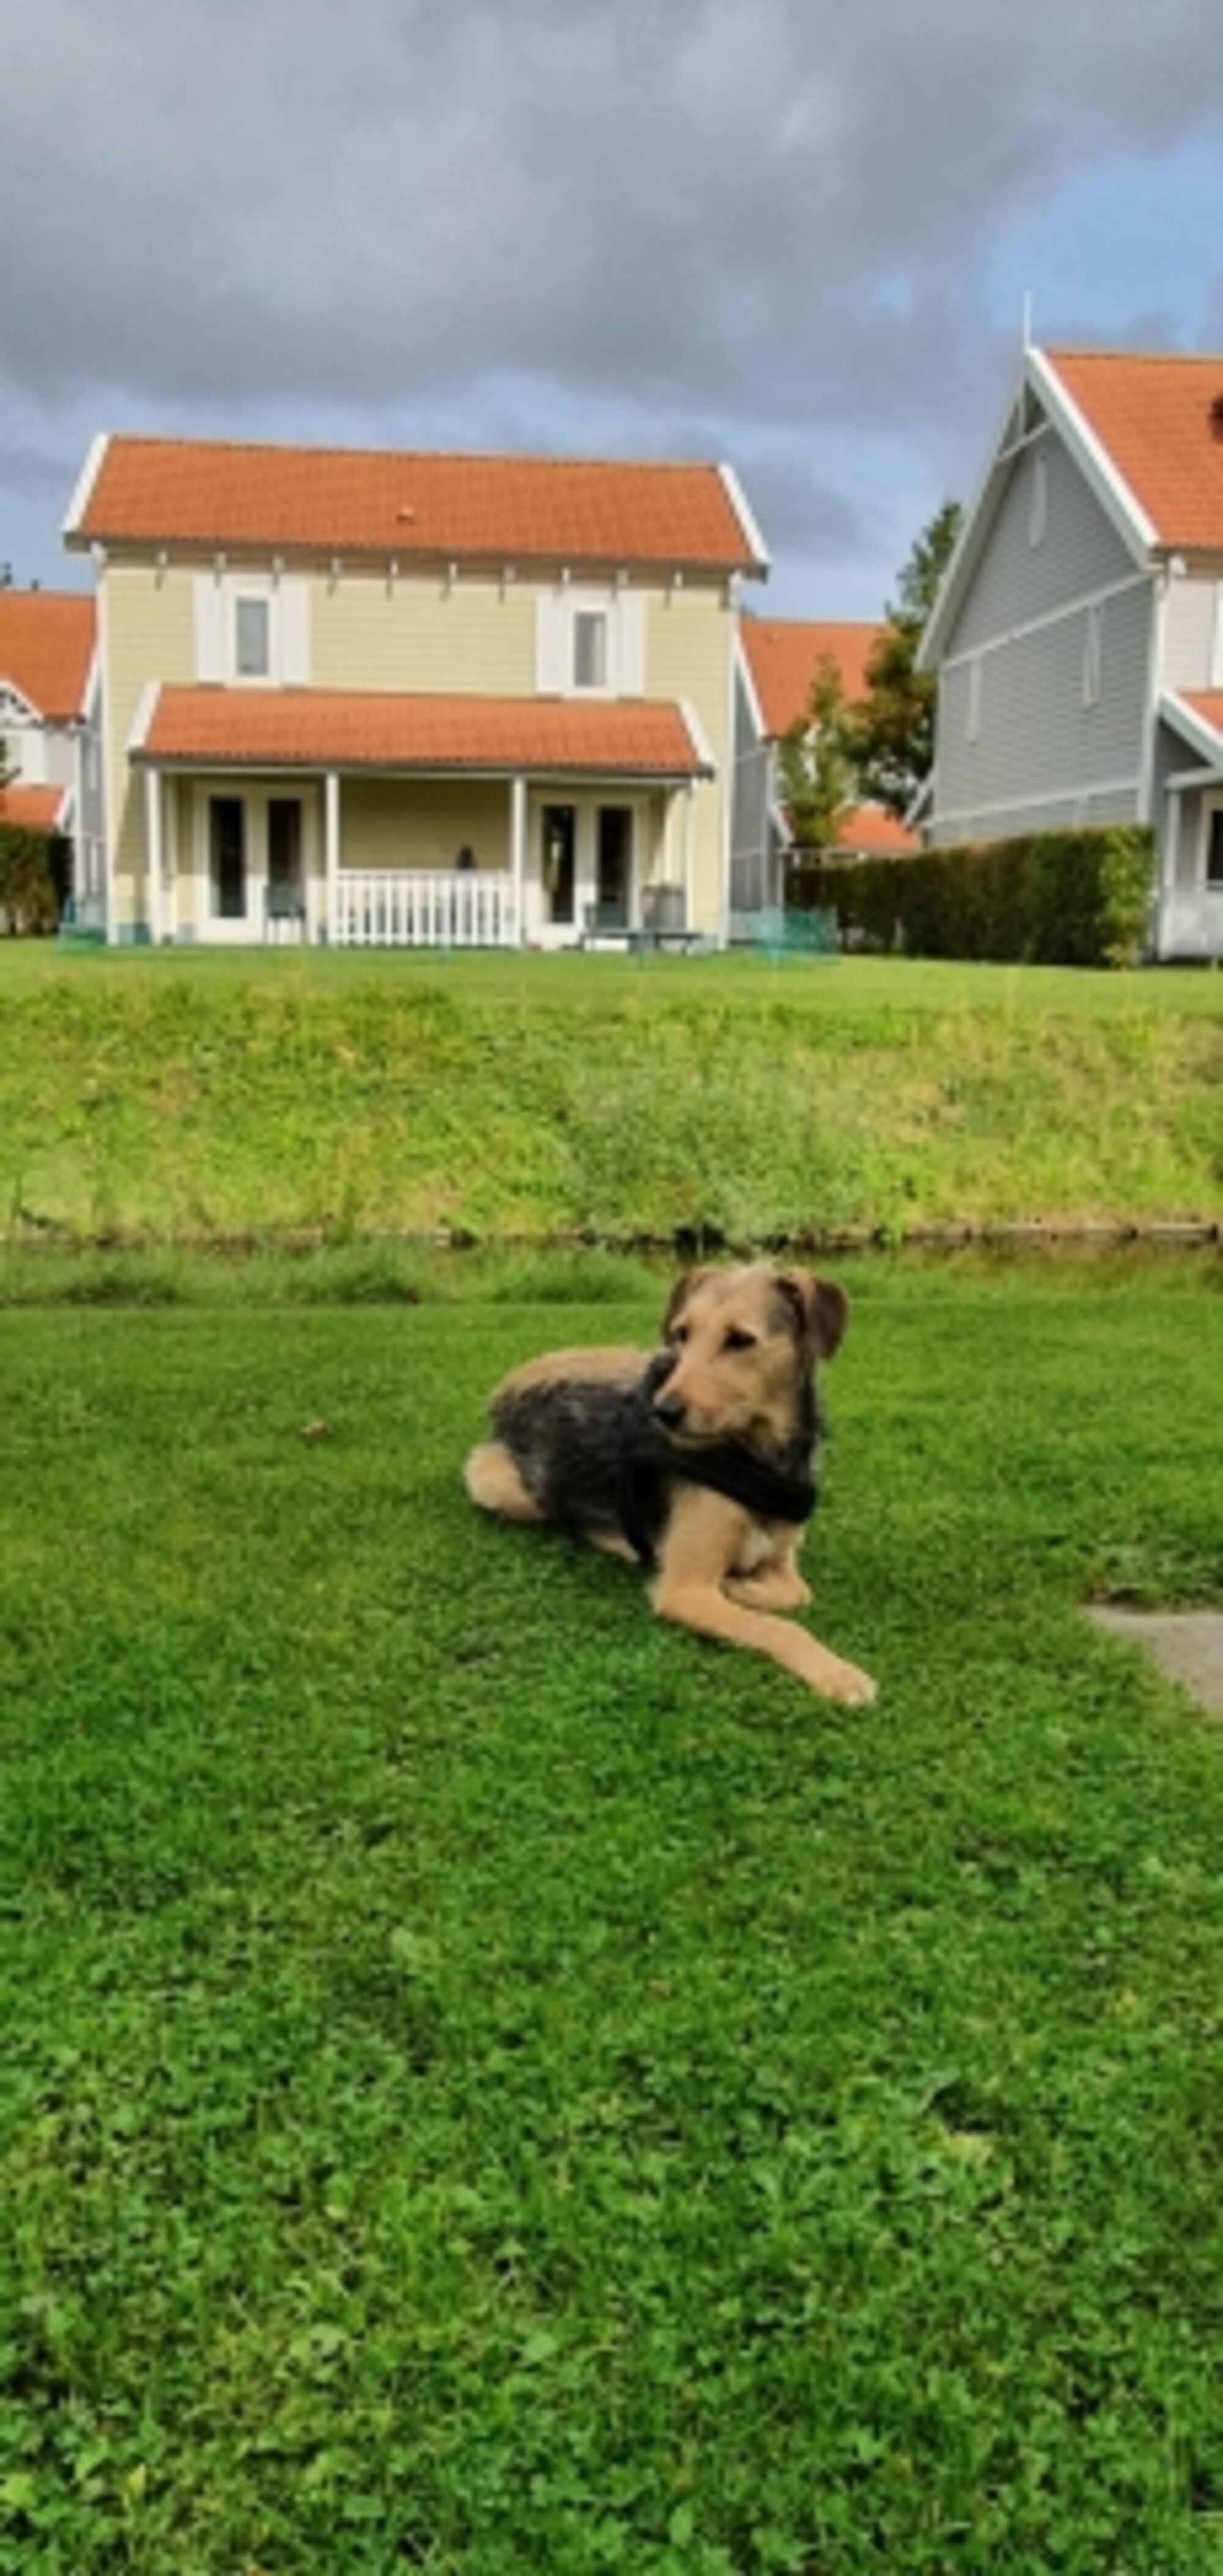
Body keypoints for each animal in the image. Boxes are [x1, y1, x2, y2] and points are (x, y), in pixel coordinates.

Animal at [464, 1262, 876, 1705]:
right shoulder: (685, 1590)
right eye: (683, 1333)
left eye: (741, 1339)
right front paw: (838, 1672)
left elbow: (797, 1594)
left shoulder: (782, 1558)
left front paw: (742, 1587)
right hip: (498, 1485)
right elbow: (778, 1625)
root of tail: (504, 1388)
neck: (761, 1457)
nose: (663, 1411)